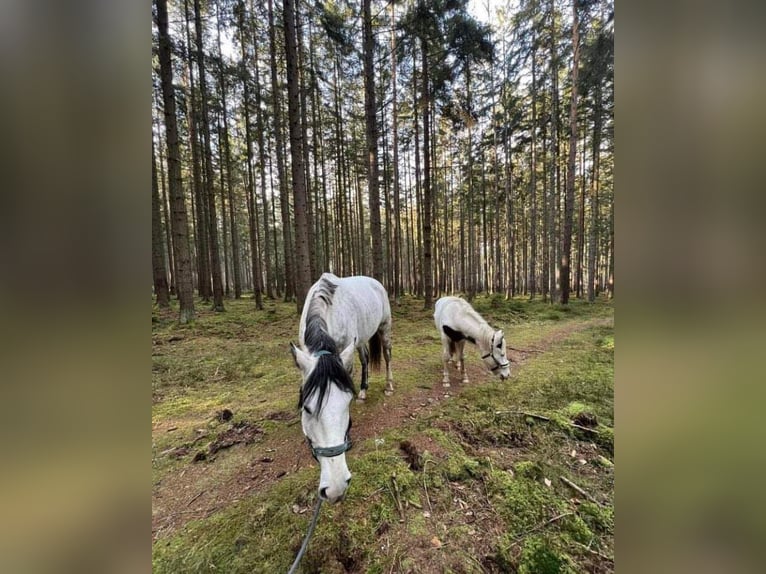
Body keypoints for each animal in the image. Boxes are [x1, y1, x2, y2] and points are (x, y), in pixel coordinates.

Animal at [290, 274, 392, 504]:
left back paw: (389, 386)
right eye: (307, 408)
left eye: (347, 403)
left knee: (387, 354)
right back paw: (364, 390)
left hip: (384, 327)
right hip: (360, 339)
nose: (336, 488)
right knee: (365, 358)